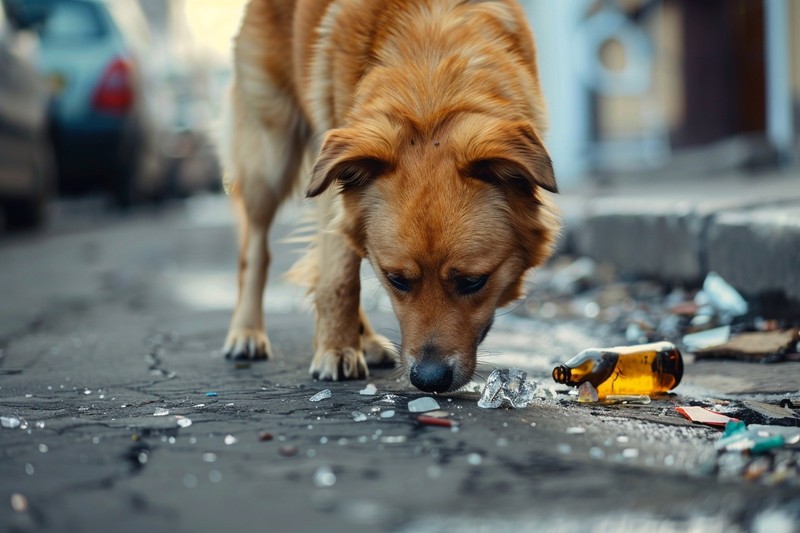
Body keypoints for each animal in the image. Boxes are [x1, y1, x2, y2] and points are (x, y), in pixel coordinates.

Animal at [219, 0, 556, 390]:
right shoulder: (333, 181)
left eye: (473, 282)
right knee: (255, 249)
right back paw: (246, 332)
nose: (429, 379)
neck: (431, 91)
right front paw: (336, 348)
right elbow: (339, 278)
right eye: (397, 280)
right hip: (271, 155)